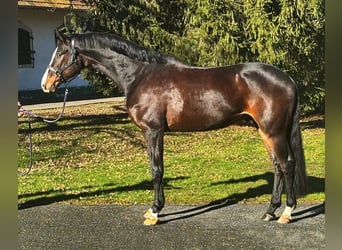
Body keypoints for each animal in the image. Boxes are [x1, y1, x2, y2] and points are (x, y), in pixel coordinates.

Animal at [40, 30, 308, 226]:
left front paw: (154, 212)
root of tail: (287, 78)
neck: (139, 75)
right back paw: (270, 211)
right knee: (277, 167)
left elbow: (156, 170)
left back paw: (287, 213)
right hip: (264, 131)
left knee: (287, 165)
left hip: (273, 132)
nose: (46, 83)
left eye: (62, 52)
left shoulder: (153, 131)